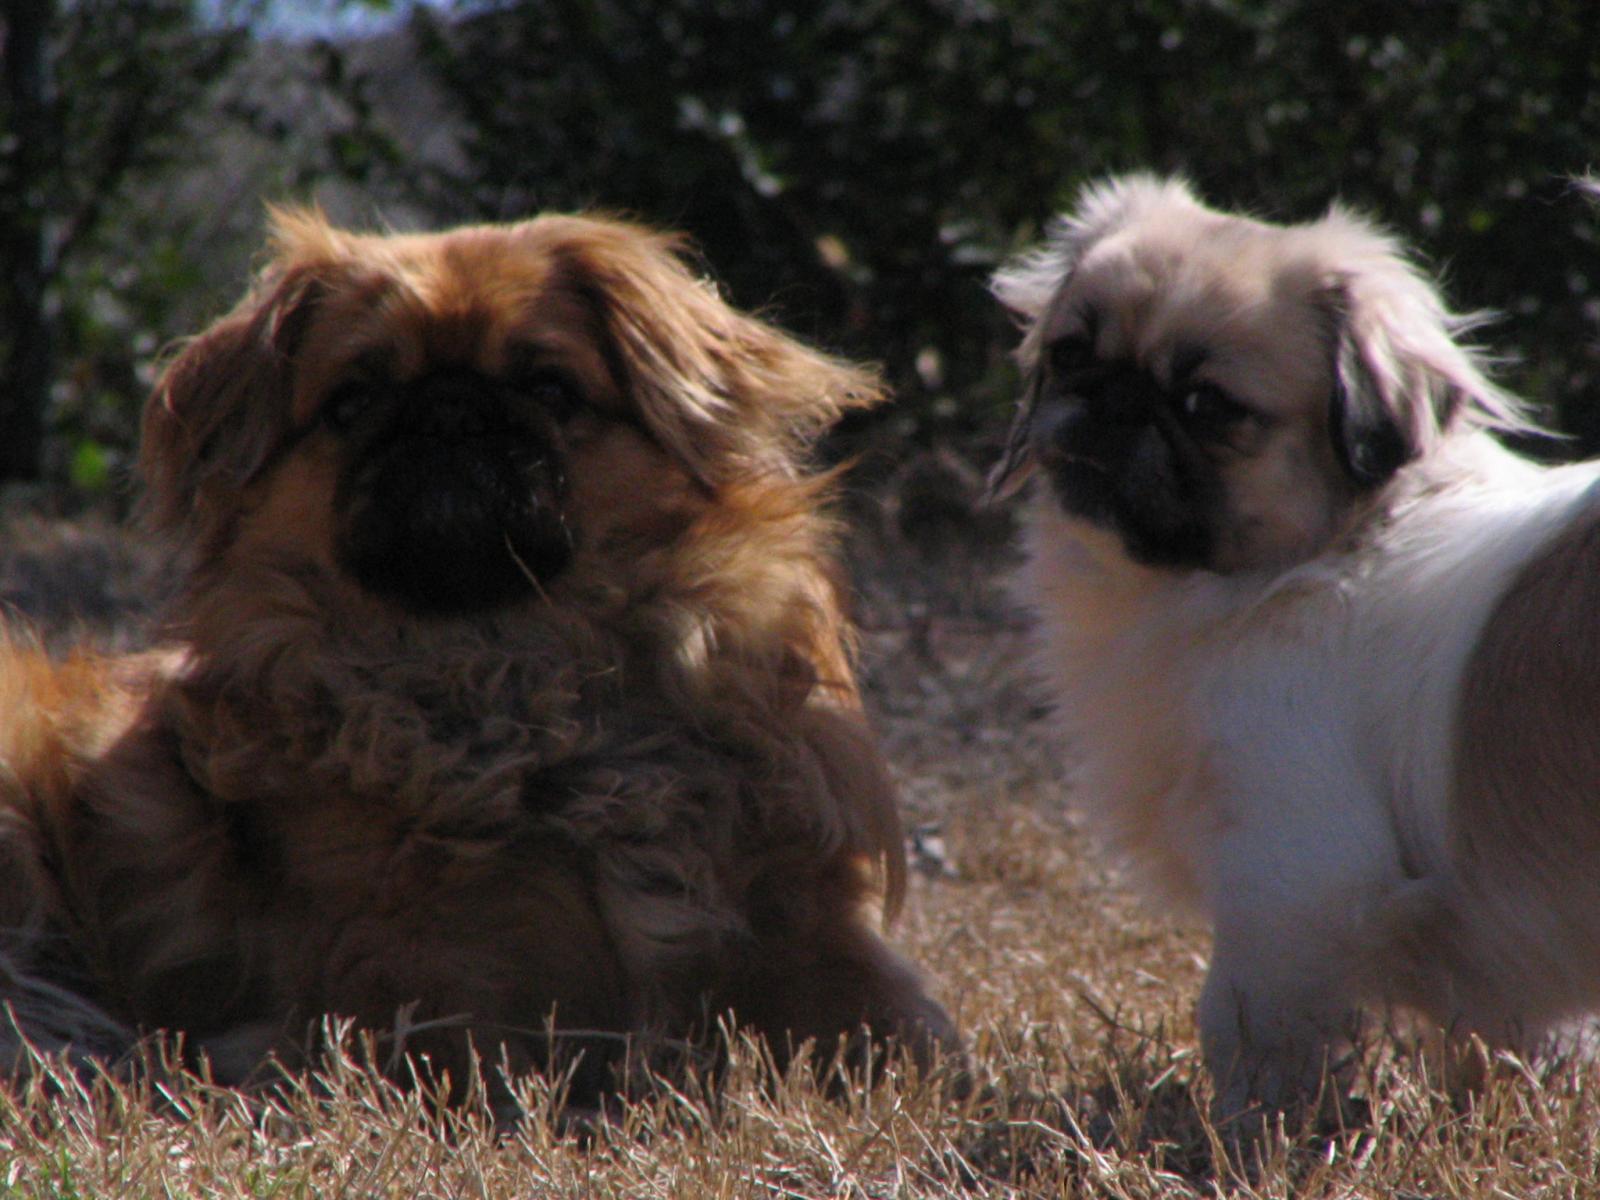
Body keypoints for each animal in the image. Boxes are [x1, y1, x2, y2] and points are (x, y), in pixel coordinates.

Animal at [0, 214, 947, 1100]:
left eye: (547, 385)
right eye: (351, 402)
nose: (447, 410)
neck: (513, 667)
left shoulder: (814, 942)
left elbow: (913, 1042)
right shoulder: (424, 979)